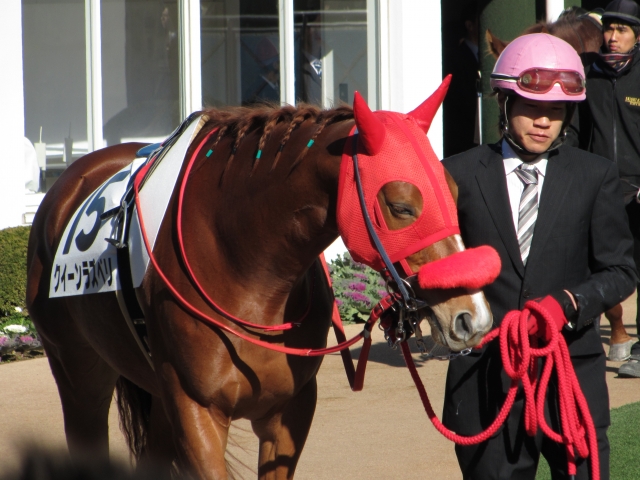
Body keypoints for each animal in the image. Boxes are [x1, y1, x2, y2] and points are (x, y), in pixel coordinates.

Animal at [25, 81, 497, 479]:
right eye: (401, 206)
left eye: (454, 193)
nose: (472, 317)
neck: (246, 270)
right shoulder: (197, 413)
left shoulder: (289, 410)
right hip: (79, 375)